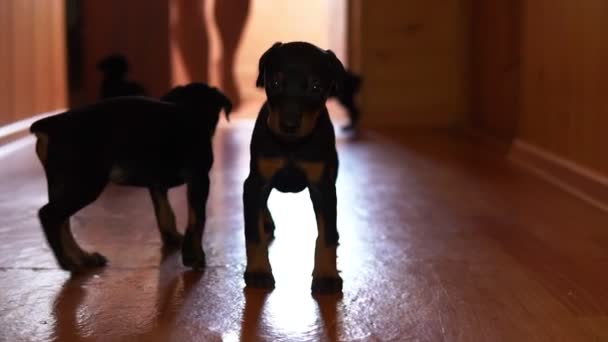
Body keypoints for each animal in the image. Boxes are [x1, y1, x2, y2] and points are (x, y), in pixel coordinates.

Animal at [29, 83, 232, 272]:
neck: (191, 109)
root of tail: (52, 125)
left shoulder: (157, 184)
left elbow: (165, 213)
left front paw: (173, 238)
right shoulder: (199, 178)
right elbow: (197, 219)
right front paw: (194, 256)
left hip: (63, 183)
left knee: (63, 222)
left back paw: (83, 258)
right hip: (85, 182)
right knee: (50, 215)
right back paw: (69, 262)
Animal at [243, 42, 346, 294]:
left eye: (316, 87)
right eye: (275, 83)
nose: (288, 125)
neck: (291, 146)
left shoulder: (323, 187)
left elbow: (327, 235)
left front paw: (326, 275)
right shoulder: (256, 181)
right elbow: (253, 234)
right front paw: (258, 271)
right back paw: (265, 221)